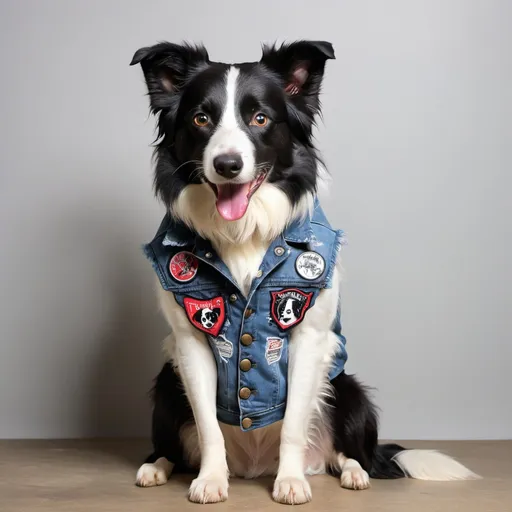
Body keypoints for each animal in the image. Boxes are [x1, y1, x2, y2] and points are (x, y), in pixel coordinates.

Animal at [130, 40, 478, 504]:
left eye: (260, 118)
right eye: (201, 119)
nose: (227, 164)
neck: (244, 231)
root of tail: (253, 465)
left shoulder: (310, 338)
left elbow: (293, 421)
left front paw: (291, 481)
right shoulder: (189, 341)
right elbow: (207, 427)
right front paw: (210, 480)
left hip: (349, 388)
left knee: (347, 453)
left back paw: (353, 473)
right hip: (166, 383)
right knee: (173, 446)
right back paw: (156, 466)